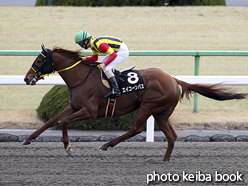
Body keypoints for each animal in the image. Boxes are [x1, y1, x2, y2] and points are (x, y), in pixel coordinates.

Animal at [22, 44, 246, 161]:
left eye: (39, 61)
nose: (26, 78)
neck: (81, 78)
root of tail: (174, 80)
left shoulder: (89, 111)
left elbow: (64, 122)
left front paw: (68, 147)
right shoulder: (73, 106)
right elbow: (51, 121)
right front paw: (28, 139)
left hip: (149, 105)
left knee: (136, 128)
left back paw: (106, 145)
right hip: (162, 112)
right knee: (172, 136)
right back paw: (164, 161)